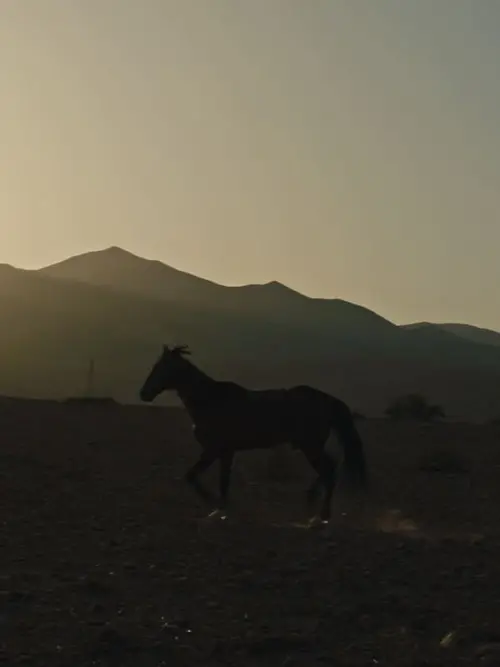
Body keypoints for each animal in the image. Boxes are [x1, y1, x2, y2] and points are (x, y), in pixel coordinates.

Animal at [140, 348, 368, 524]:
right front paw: (220, 509)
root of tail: (328, 400)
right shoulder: (226, 452)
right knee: (329, 469)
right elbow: (221, 483)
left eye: (161, 368)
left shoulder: (214, 450)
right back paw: (313, 502)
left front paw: (214, 505)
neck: (210, 400)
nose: (143, 393)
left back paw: (322, 514)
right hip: (311, 446)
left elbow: (194, 477)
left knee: (329, 470)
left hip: (311, 446)